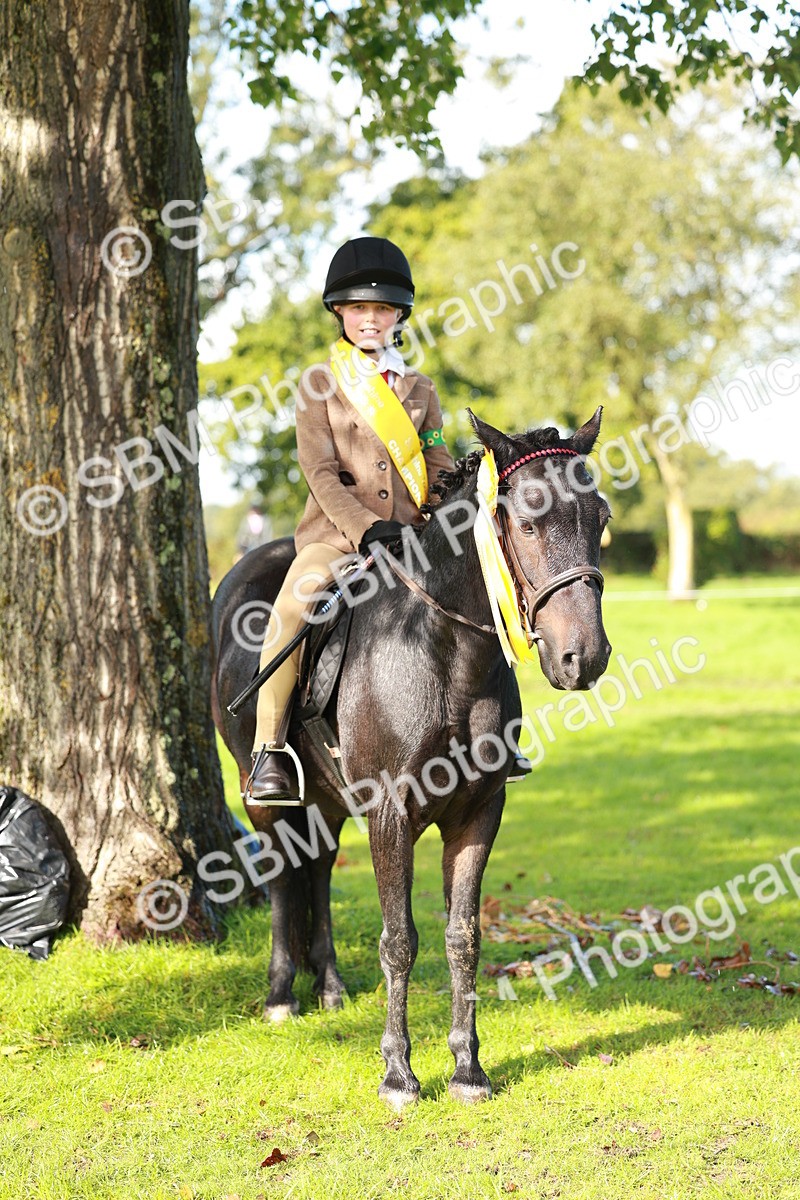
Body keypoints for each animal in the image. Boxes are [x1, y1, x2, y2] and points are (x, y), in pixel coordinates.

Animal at [211, 409, 611, 1107]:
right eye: (527, 522)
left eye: (601, 518)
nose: (582, 657)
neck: (444, 649)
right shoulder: (391, 815)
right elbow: (399, 939)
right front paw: (398, 1073)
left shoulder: (478, 813)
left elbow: (462, 937)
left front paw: (467, 1068)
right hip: (261, 792)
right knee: (283, 874)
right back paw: (282, 994)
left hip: (330, 799)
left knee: (317, 866)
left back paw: (330, 986)